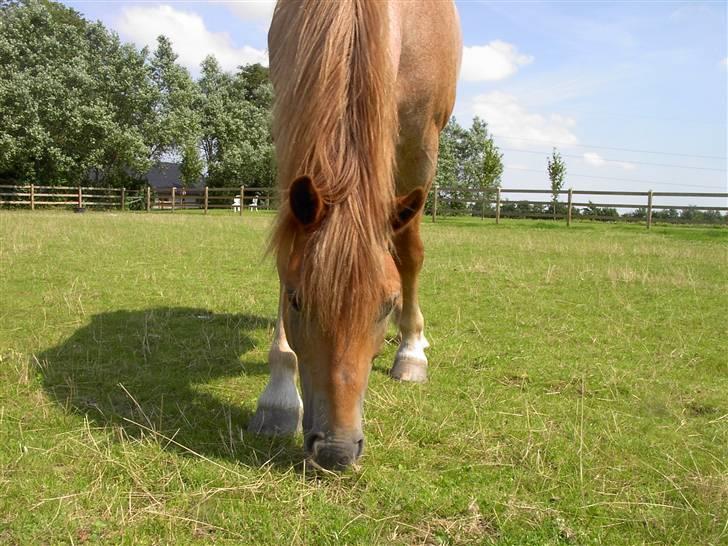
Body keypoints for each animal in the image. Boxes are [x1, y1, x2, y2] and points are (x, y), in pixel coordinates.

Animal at [250, 0, 460, 468]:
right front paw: (278, 396)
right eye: (297, 300)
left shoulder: (420, 144)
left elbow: (409, 251)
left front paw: (410, 349)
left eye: (387, 304)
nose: (336, 449)